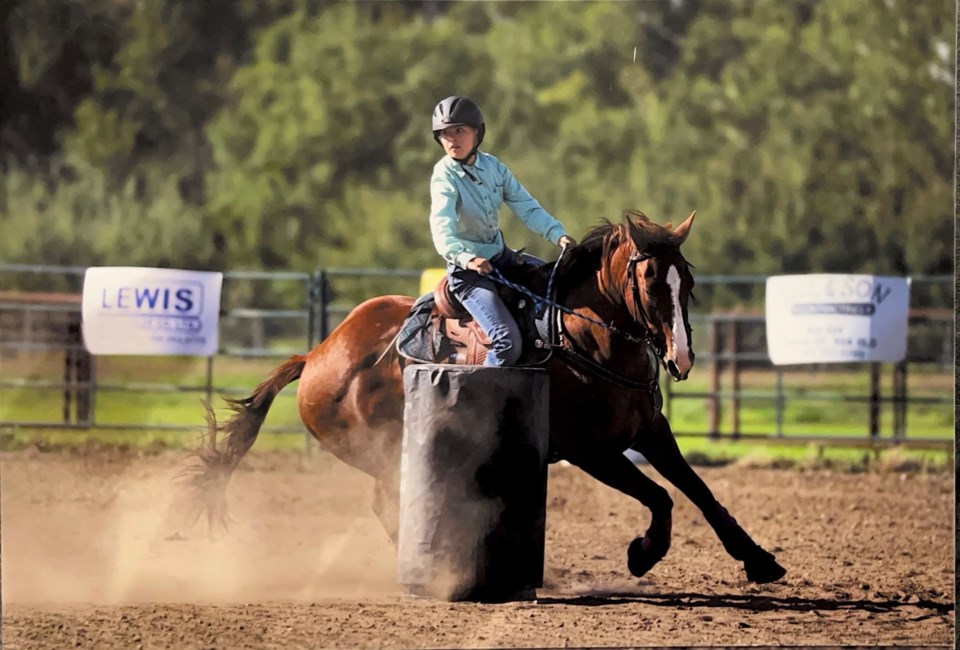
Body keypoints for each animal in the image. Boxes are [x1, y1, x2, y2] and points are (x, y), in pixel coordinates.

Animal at [182, 210, 788, 584]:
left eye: (687, 282)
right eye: (649, 284)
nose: (681, 357)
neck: (581, 338)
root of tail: (316, 354)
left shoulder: (650, 434)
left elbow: (702, 493)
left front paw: (760, 560)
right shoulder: (591, 452)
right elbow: (661, 497)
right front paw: (643, 554)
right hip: (382, 449)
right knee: (388, 500)